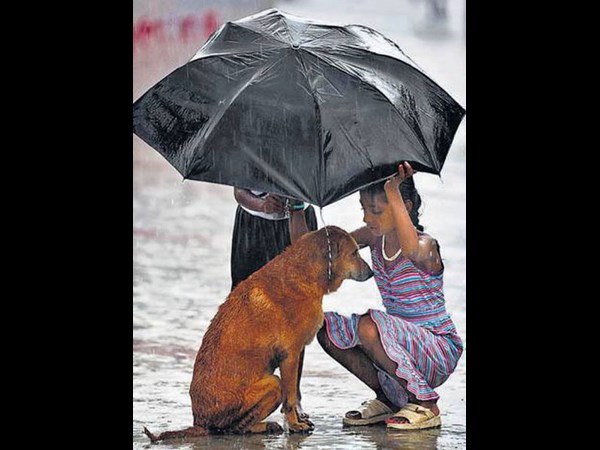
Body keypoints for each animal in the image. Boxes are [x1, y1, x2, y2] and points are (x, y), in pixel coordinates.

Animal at [143, 225, 372, 440]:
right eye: (354, 253)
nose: (370, 273)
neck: (303, 272)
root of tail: (199, 423)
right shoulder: (290, 356)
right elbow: (290, 399)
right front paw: (295, 425)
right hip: (273, 384)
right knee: (233, 429)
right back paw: (264, 426)